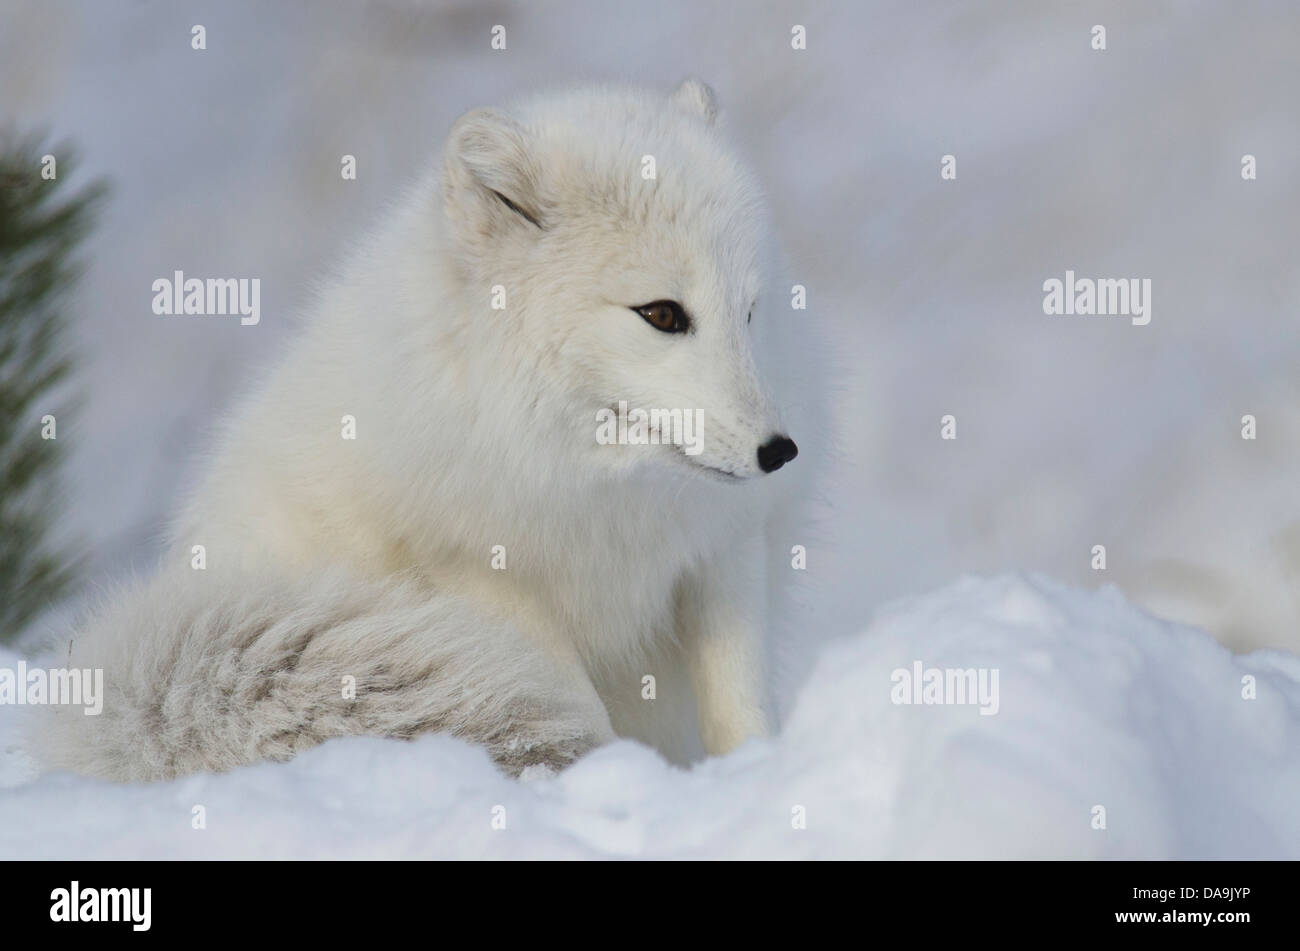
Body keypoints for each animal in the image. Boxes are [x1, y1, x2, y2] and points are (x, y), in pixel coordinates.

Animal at [32, 79, 811, 779]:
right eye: (663, 315)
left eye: (749, 312)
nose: (779, 451)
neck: (597, 482)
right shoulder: (481, 572)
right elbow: (574, 702)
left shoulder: (723, 550)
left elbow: (739, 706)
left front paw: (758, 777)